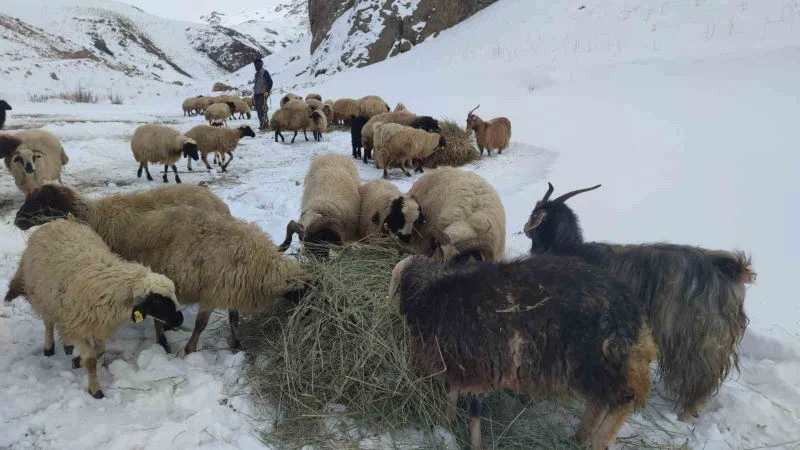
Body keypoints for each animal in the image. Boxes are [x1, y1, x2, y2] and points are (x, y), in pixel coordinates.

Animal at [5, 218, 183, 398]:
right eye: (158, 301)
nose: (180, 319)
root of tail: (56, 221)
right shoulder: (78, 326)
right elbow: (91, 360)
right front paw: (95, 389)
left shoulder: (99, 325)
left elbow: (100, 350)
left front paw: (77, 361)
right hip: (45, 297)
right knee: (48, 322)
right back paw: (49, 348)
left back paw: (68, 346)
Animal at [15, 186, 304, 356]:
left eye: (41, 202)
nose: (17, 221)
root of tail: (221, 205)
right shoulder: (219, 288)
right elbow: (203, 323)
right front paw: (189, 350)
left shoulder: (227, 287)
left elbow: (228, 319)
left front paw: (235, 344)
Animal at [390, 253, 660, 450]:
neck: (429, 293)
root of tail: (634, 315)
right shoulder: (461, 367)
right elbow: (453, 396)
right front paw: (447, 424)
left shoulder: (475, 369)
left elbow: (473, 412)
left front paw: (472, 442)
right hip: (594, 369)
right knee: (598, 402)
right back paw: (577, 438)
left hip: (601, 362)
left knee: (622, 400)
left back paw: (597, 440)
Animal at [524, 181, 756, 420]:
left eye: (534, 214)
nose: (525, 229)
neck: (570, 250)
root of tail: (734, 270)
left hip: (699, 338)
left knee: (702, 376)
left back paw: (686, 413)